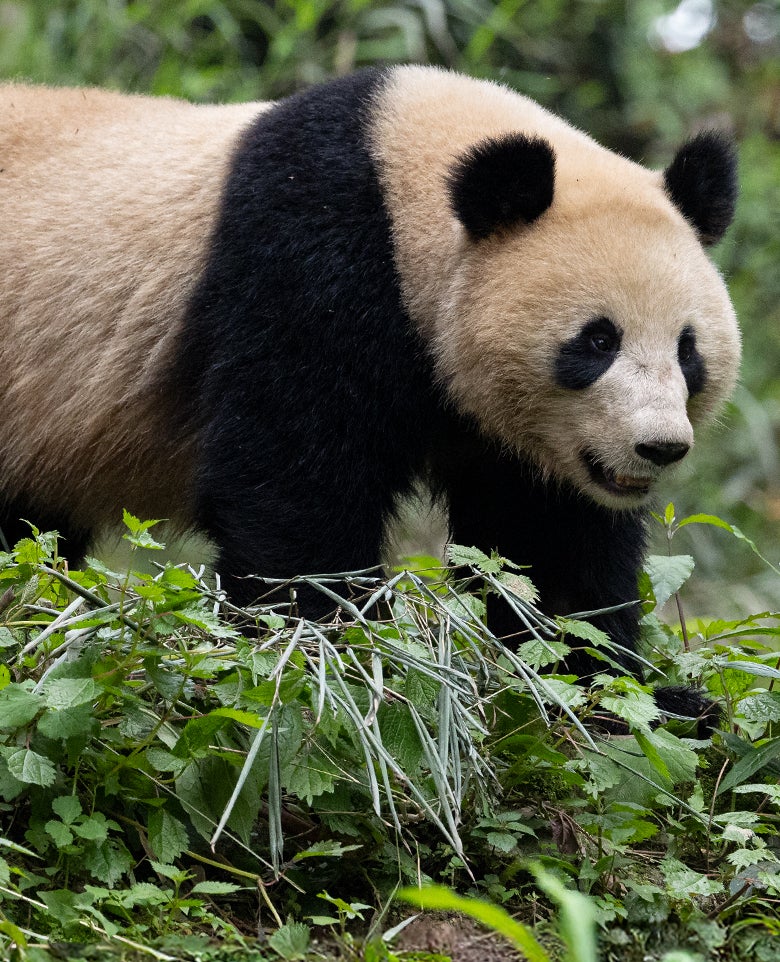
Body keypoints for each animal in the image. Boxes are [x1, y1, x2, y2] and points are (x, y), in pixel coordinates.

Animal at [0, 67, 738, 712]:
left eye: (687, 349)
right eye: (597, 341)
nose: (658, 447)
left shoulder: (525, 440)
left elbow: (546, 540)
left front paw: (634, 696)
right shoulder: (308, 261)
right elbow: (293, 486)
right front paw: (349, 656)